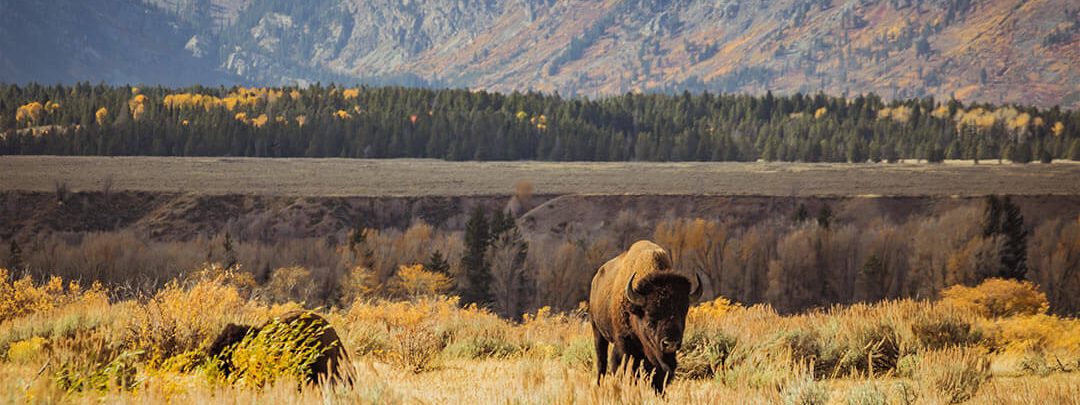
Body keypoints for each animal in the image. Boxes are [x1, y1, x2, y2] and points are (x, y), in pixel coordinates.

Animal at [588, 240, 702, 393]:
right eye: (650, 315)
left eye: (682, 313)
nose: (670, 343)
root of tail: (595, 280)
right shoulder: (624, 343)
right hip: (597, 332)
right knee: (602, 362)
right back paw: (599, 385)